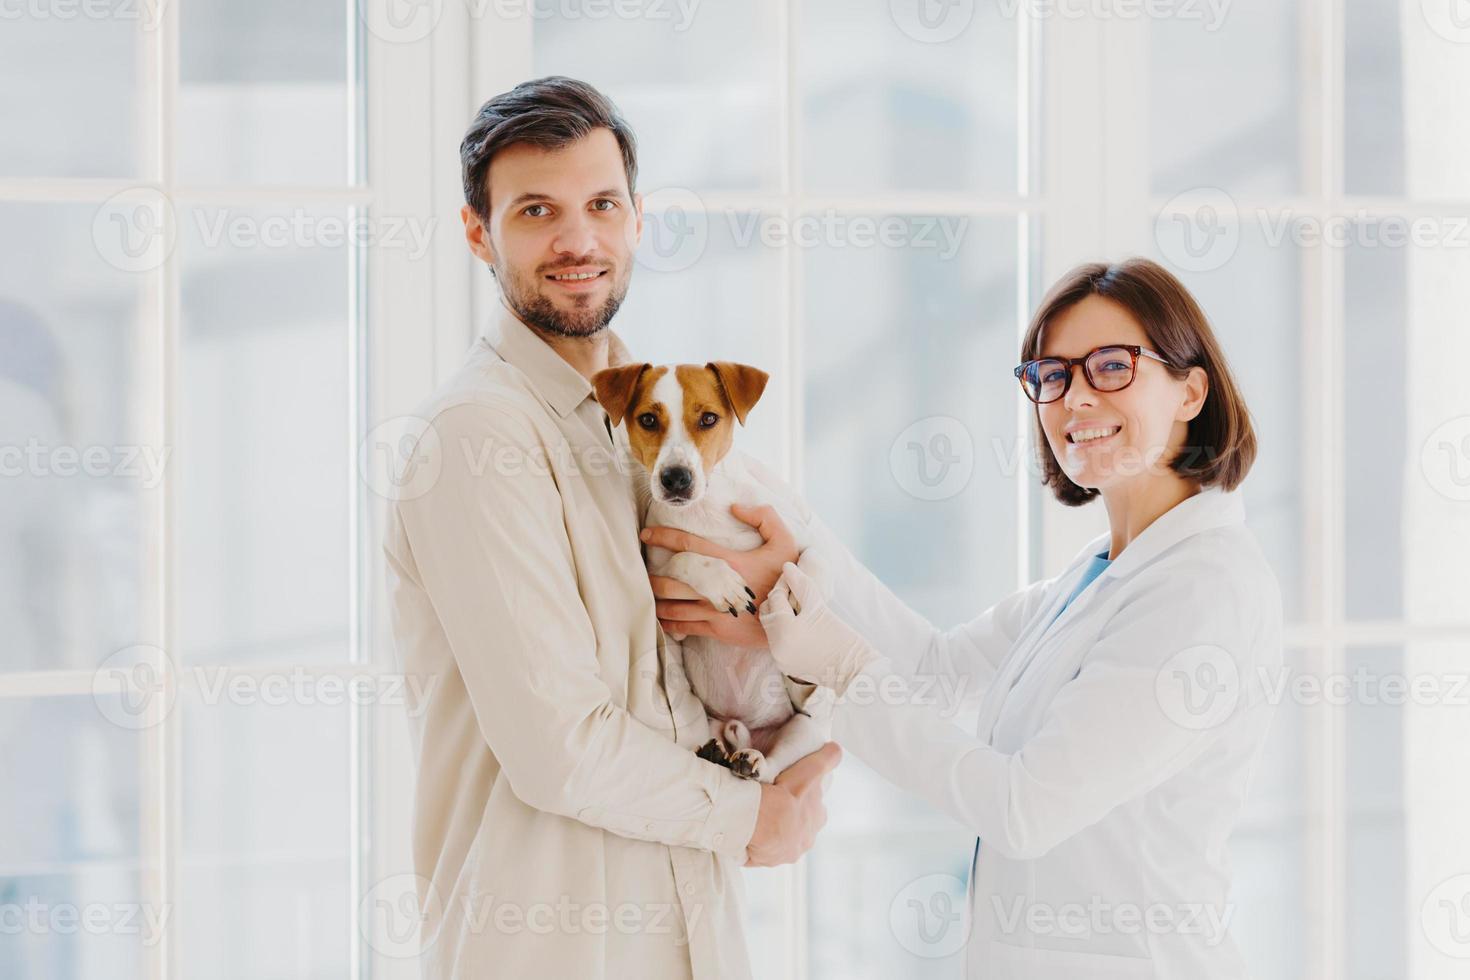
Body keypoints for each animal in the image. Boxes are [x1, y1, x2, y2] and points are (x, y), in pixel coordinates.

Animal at [593, 359, 829, 781]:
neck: (704, 512)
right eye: (648, 419)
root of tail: (746, 729)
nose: (675, 478)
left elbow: (810, 564)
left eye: (708, 418)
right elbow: (686, 559)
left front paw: (801, 620)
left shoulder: (798, 539)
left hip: (807, 728)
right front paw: (723, 583)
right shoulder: (663, 592)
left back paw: (753, 760)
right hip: (708, 722)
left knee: (775, 765)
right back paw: (722, 755)